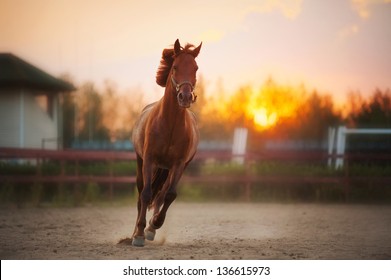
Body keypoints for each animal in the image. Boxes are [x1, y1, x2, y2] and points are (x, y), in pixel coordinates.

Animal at [132, 40, 204, 247]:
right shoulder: (149, 160)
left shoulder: (178, 164)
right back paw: (135, 232)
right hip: (141, 162)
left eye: (195, 68)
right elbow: (146, 194)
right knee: (141, 194)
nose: (185, 97)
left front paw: (153, 225)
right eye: (175, 67)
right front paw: (139, 235)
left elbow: (169, 195)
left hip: (169, 169)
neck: (170, 124)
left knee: (162, 194)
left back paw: (151, 228)